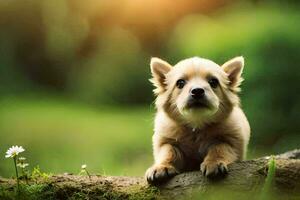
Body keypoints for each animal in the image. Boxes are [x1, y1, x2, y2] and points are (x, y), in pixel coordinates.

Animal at [145, 56, 251, 184]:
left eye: (213, 82)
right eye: (180, 83)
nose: (197, 91)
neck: (197, 126)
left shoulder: (231, 141)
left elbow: (219, 148)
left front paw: (214, 163)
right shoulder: (166, 141)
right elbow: (169, 152)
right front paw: (161, 167)